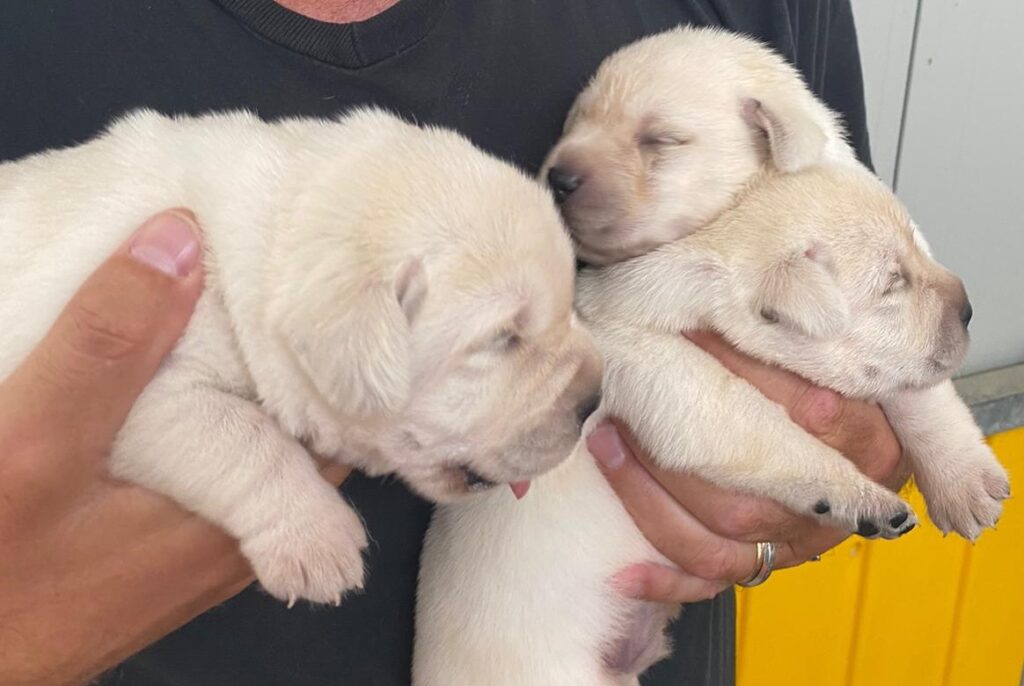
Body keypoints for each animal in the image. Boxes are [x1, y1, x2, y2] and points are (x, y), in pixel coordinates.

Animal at [413, 28, 1007, 686]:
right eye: (890, 285)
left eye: (660, 140)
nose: (969, 308)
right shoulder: (644, 354)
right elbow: (749, 419)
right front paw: (854, 492)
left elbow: (915, 388)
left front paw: (963, 478)